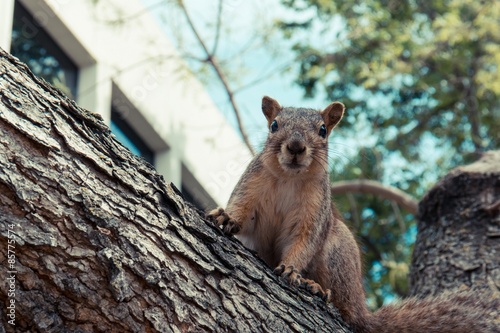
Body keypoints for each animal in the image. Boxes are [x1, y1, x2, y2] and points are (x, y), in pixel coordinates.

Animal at [206, 94, 496, 330]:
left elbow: (304, 241)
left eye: (323, 130)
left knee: (345, 309)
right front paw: (226, 217)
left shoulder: (316, 211)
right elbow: (242, 211)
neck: (290, 178)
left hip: (338, 252)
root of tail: (362, 308)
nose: (296, 147)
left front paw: (291, 269)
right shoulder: (251, 186)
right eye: (274, 125)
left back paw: (317, 289)